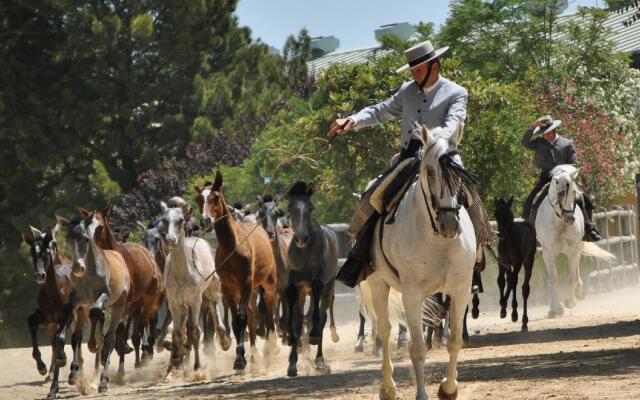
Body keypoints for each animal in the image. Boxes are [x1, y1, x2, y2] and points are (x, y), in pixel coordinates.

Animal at [86, 205, 164, 374]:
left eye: (100, 227)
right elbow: (100, 317)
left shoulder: (125, 302)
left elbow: (122, 329)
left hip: (145, 301)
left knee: (140, 326)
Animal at [199, 170, 278, 374]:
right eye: (199, 198)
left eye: (215, 197)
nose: (205, 220)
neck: (233, 246)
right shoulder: (228, 287)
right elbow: (237, 320)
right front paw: (240, 359)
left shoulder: (246, 282)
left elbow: (243, 318)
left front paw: (241, 360)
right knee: (251, 312)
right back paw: (255, 356)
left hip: (267, 283)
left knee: (269, 306)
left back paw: (271, 348)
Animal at [284, 183, 340, 376]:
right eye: (290, 208)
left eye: (310, 208)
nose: (301, 238)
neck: (304, 253)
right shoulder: (295, 286)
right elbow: (295, 319)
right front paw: (292, 361)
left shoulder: (317, 283)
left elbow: (317, 316)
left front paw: (313, 337)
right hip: (304, 290)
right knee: (304, 317)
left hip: (328, 287)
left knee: (322, 316)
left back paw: (319, 360)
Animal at [496, 197, 536, 332]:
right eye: (496, 214)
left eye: (507, 215)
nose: (501, 234)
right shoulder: (502, 261)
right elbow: (501, 281)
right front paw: (503, 310)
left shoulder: (517, 262)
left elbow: (512, 282)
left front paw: (504, 303)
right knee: (512, 280)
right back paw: (513, 312)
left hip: (528, 260)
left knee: (524, 287)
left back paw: (523, 321)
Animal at [536, 164, 616, 318]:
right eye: (559, 194)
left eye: (574, 192)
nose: (570, 219)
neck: (559, 223)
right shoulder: (548, 254)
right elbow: (552, 280)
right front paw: (556, 309)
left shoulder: (573, 251)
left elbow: (572, 278)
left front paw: (570, 302)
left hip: (577, 247)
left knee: (575, 270)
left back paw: (579, 292)